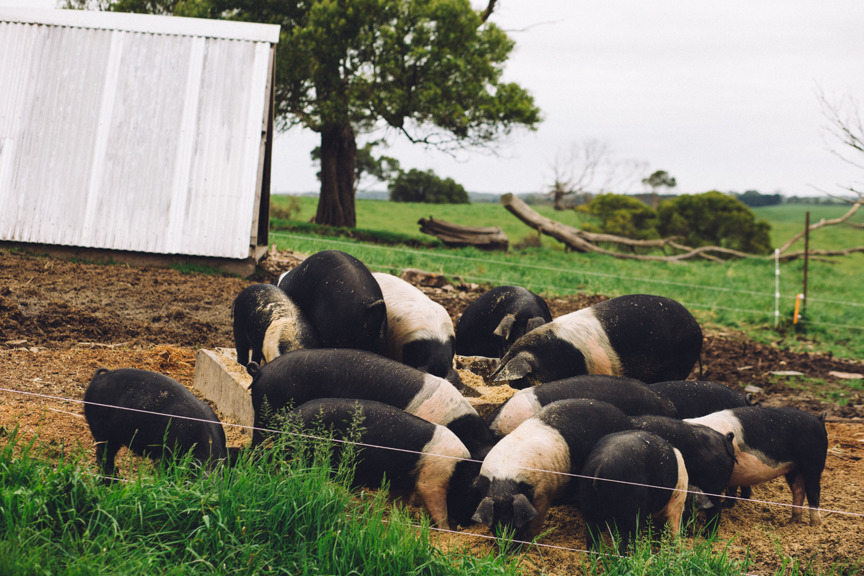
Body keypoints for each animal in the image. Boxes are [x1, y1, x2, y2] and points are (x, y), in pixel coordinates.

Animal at [292, 398, 478, 528]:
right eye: (469, 495)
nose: (468, 523)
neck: (459, 469)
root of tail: (291, 417)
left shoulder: (401, 482)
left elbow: (399, 500)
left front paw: (398, 517)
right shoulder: (432, 479)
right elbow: (437, 504)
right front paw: (447, 530)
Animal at [471, 399, 632, 542]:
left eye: (514, 519)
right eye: (495, 521)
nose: (508, 549)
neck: (505, 479)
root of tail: (624, 417)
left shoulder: (544, 494)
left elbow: (535, 524)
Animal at [686, 406, 828, 525]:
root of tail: (818, 419)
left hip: (813, 462)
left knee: (813, 490)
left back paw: (815, 524)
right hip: (793, 468)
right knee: (798, 490)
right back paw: (792, 521)